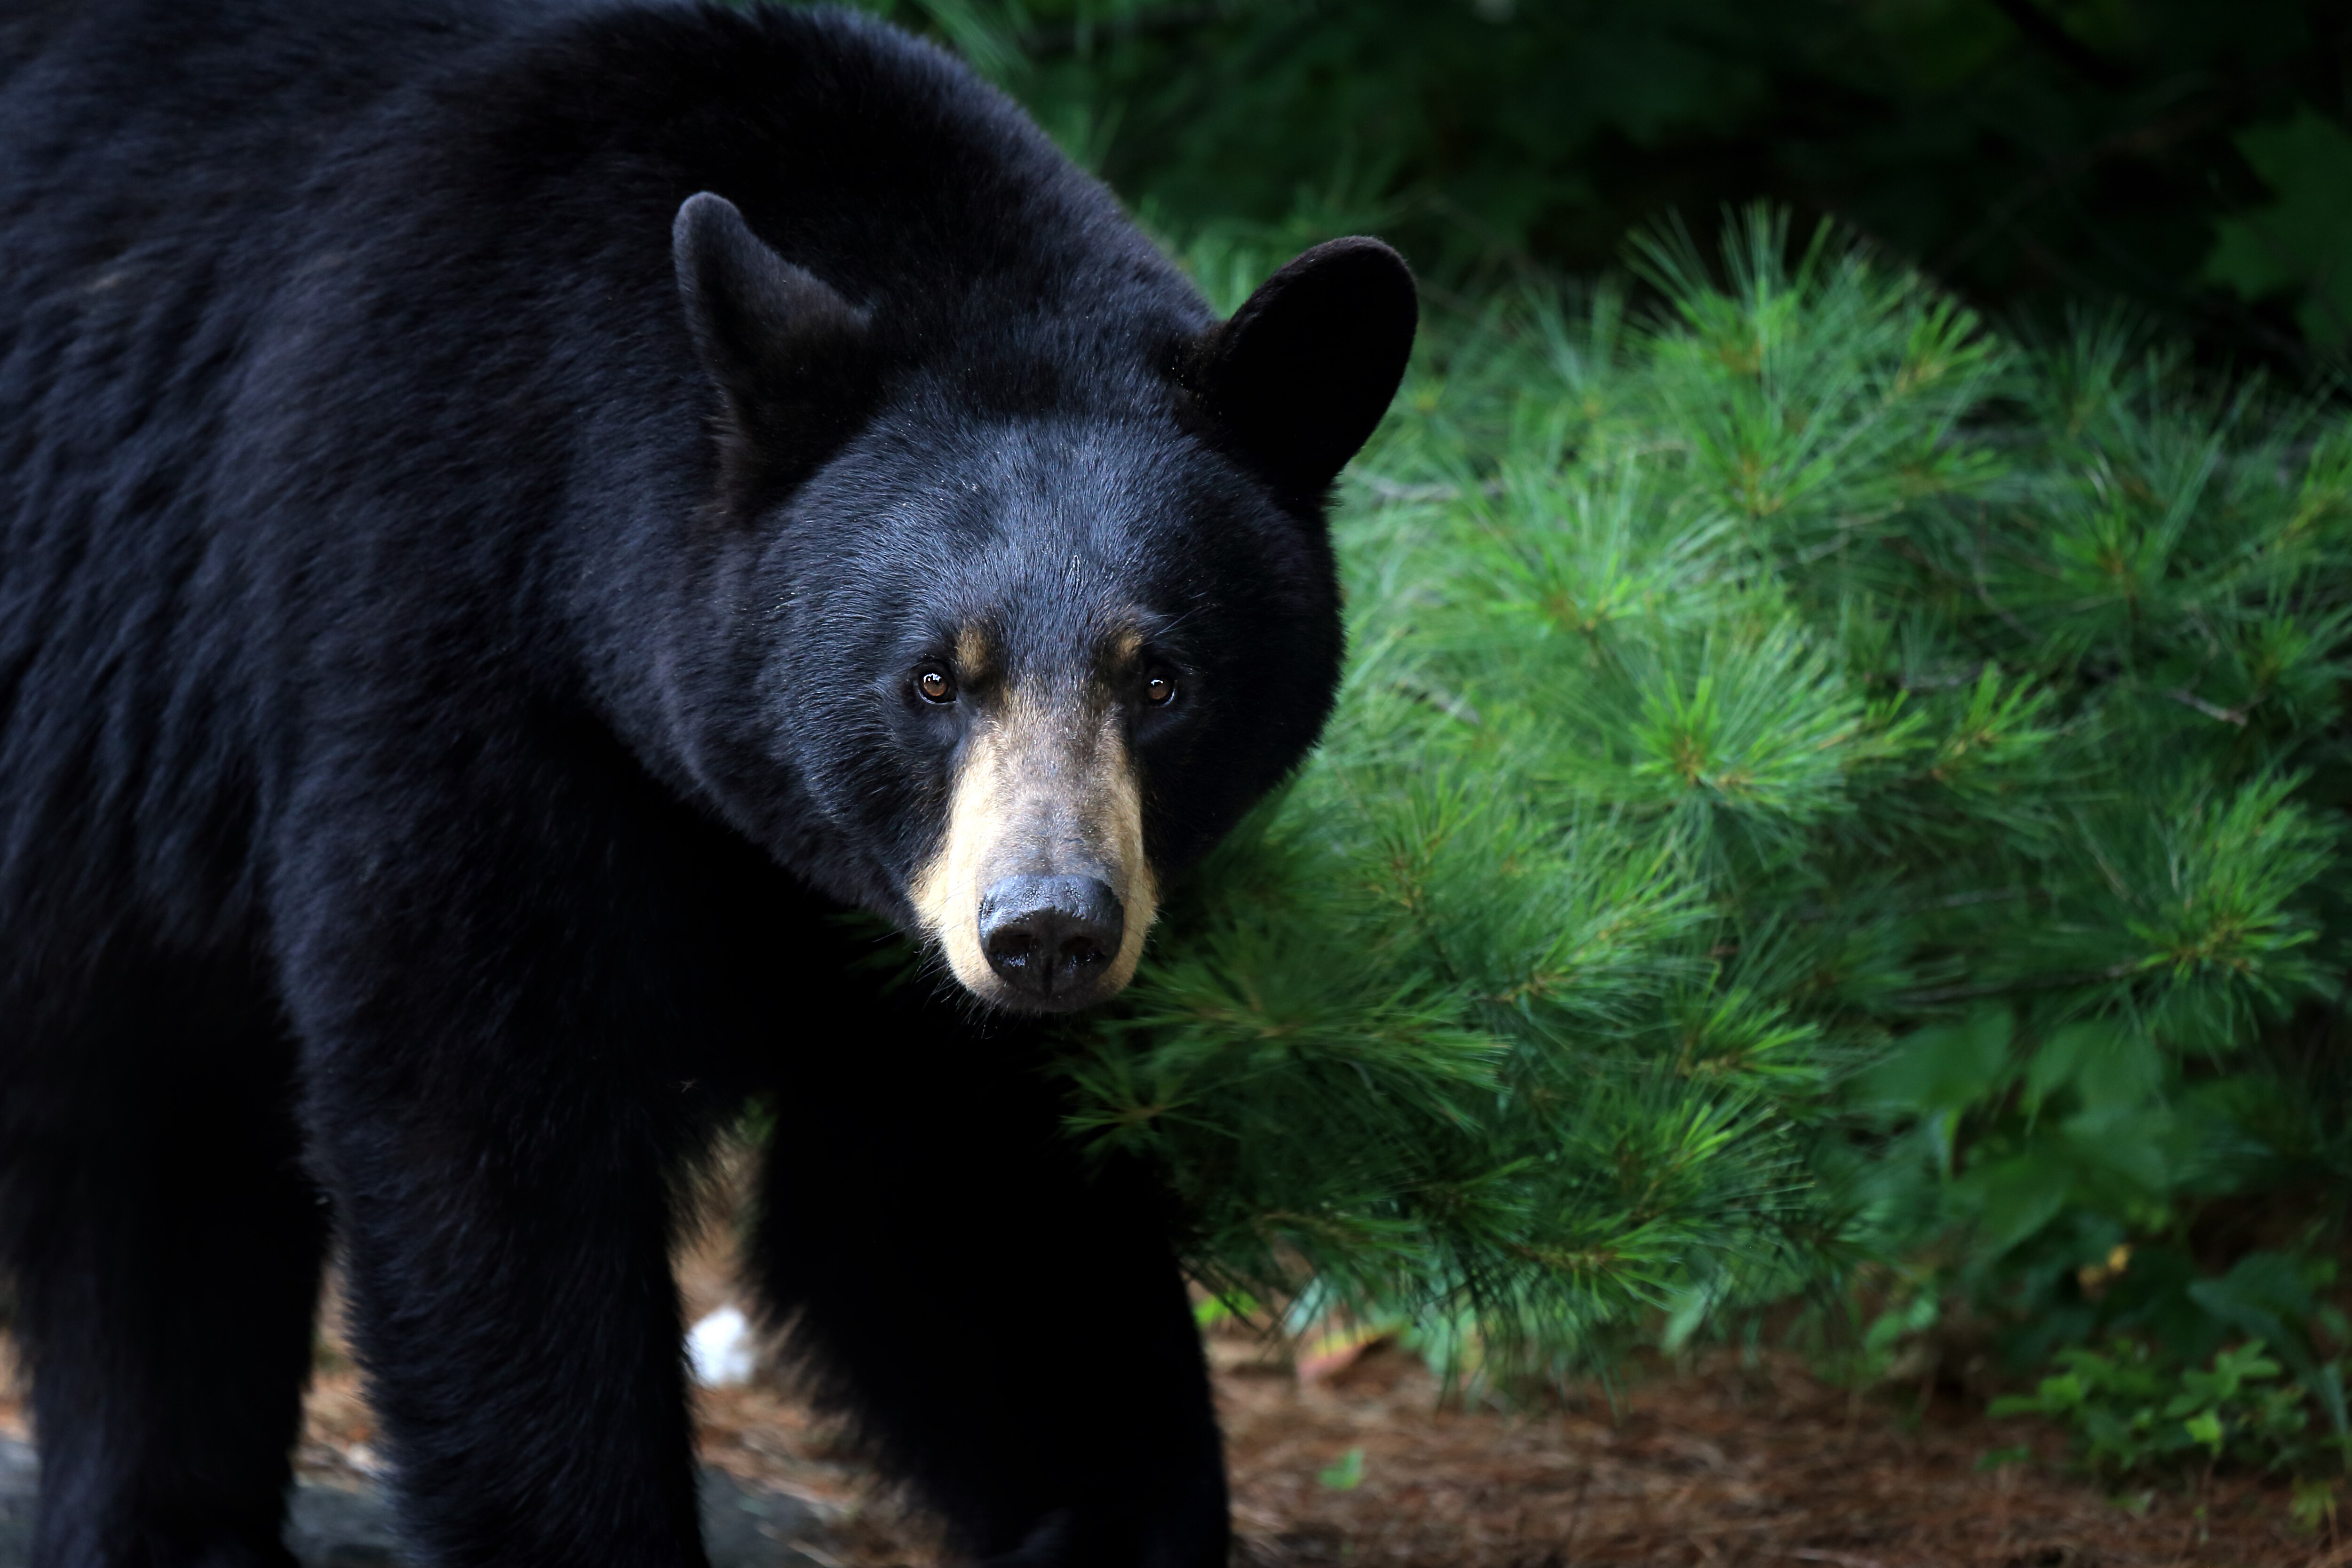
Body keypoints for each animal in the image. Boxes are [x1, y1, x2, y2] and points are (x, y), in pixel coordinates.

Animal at [0, 0, 1417, 1563]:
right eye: (936, 677)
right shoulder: (432, 637)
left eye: (1157, 678)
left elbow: (961, 1200)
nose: (1047, 929)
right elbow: (485, 1133)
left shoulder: (888, 925)